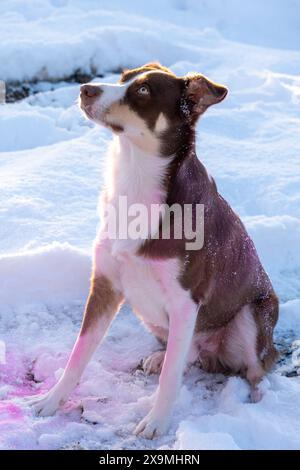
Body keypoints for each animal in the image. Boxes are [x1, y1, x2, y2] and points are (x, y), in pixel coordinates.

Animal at [27, 63, 278, 440]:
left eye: (143, 91)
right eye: (122, 78)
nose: (85, 89)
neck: (134, 178)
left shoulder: (185, 301)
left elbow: (171, 378)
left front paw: (157, 421)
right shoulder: (105, 286)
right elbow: (78, 354)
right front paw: (51, 399)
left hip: (252, 316)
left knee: (257, 366)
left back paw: (259, 400)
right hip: (150, 314)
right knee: (188, 351)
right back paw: (163, 357)